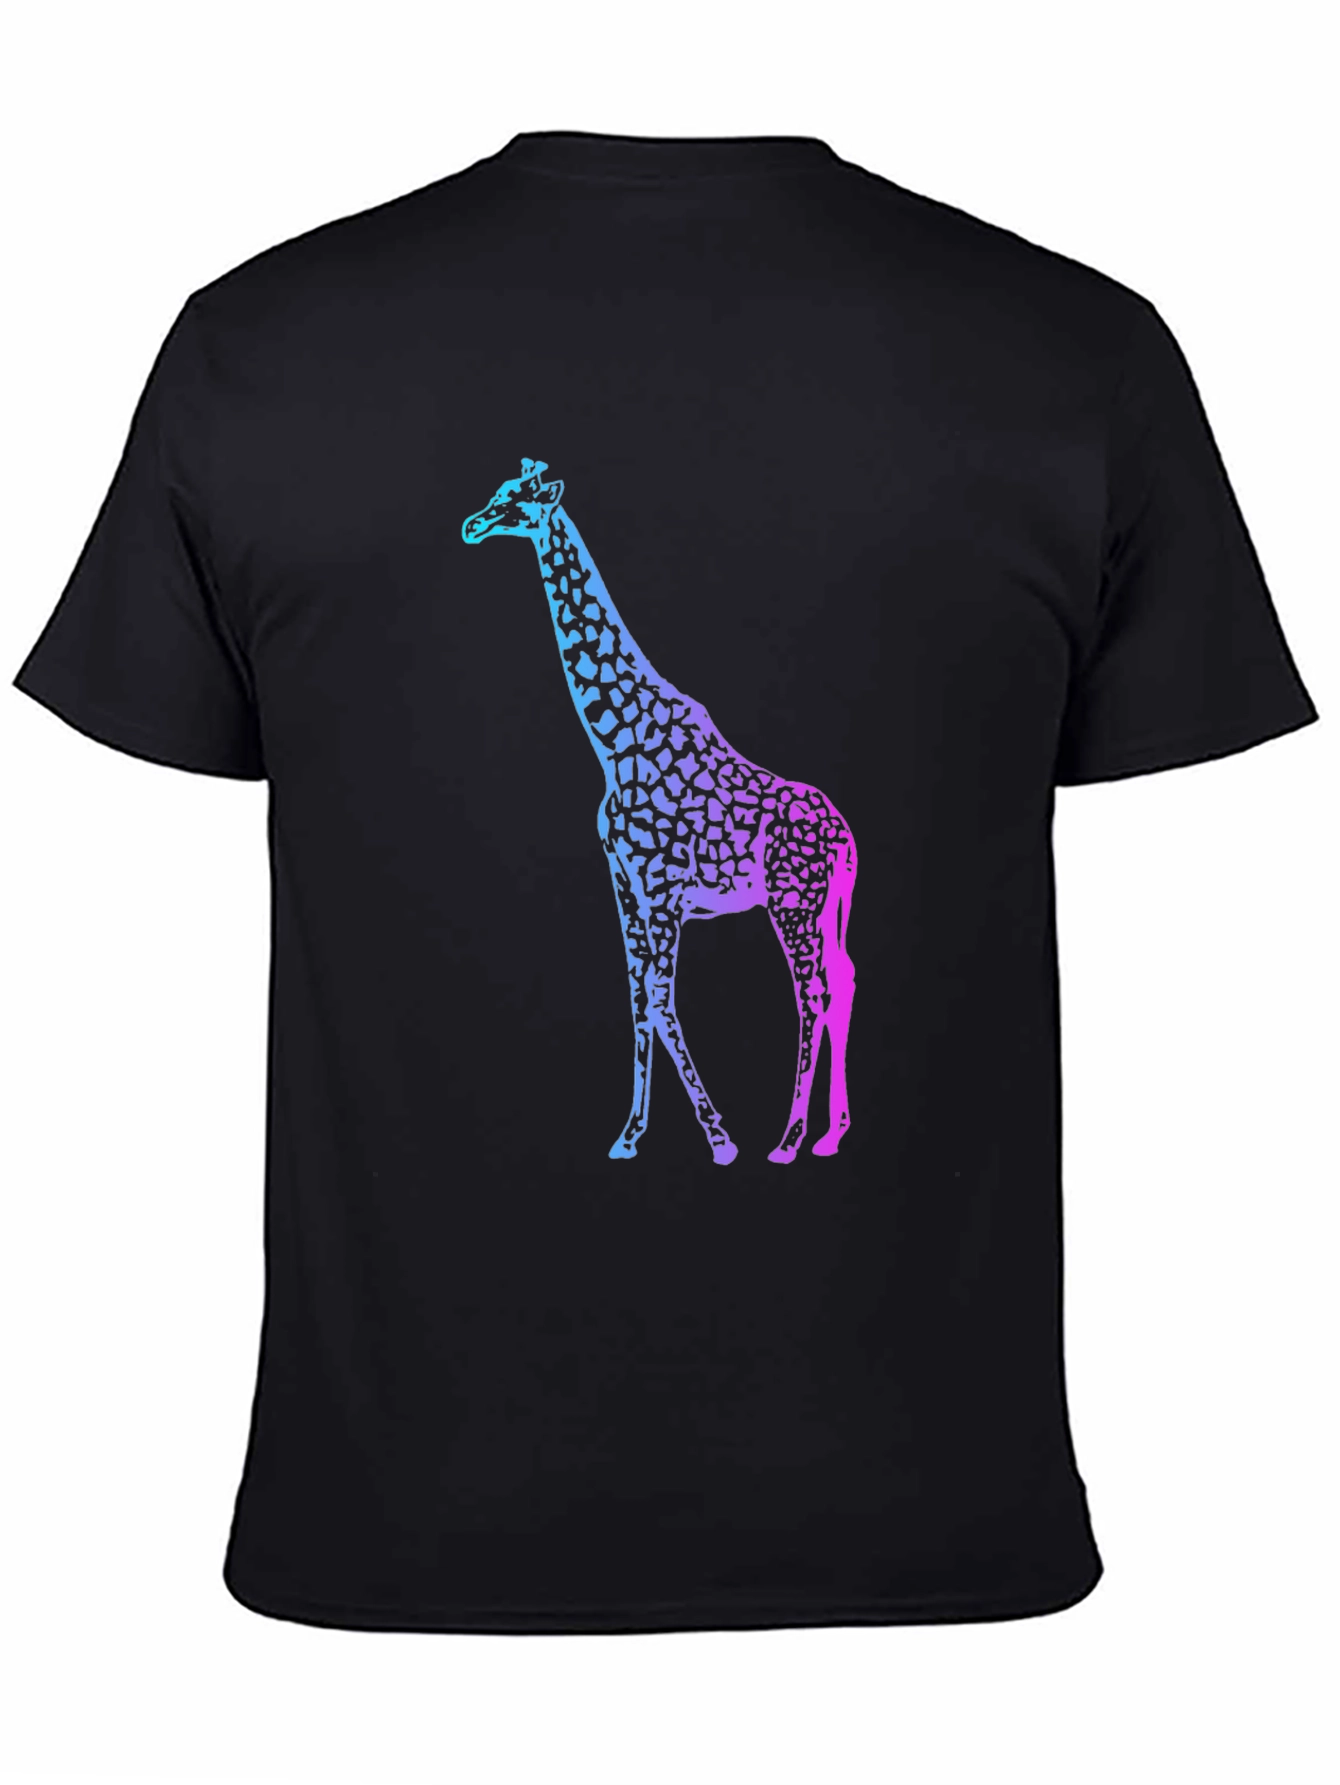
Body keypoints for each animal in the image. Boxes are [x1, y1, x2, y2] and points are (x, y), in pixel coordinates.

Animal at [462, 460, 857, 1166]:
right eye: (499, 491)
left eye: (519, 501)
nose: (472, 524)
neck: (615, 741)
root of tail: (843, 837)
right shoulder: (625, 886)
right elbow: (638, 1002)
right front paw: (630, 1134)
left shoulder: (664, 890)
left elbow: (664, 1003)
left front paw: (719, 1137)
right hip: (829, 903)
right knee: (843, 984)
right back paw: (832, 1133)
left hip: (793, 901)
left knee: (812, 996)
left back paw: (787, 1139)